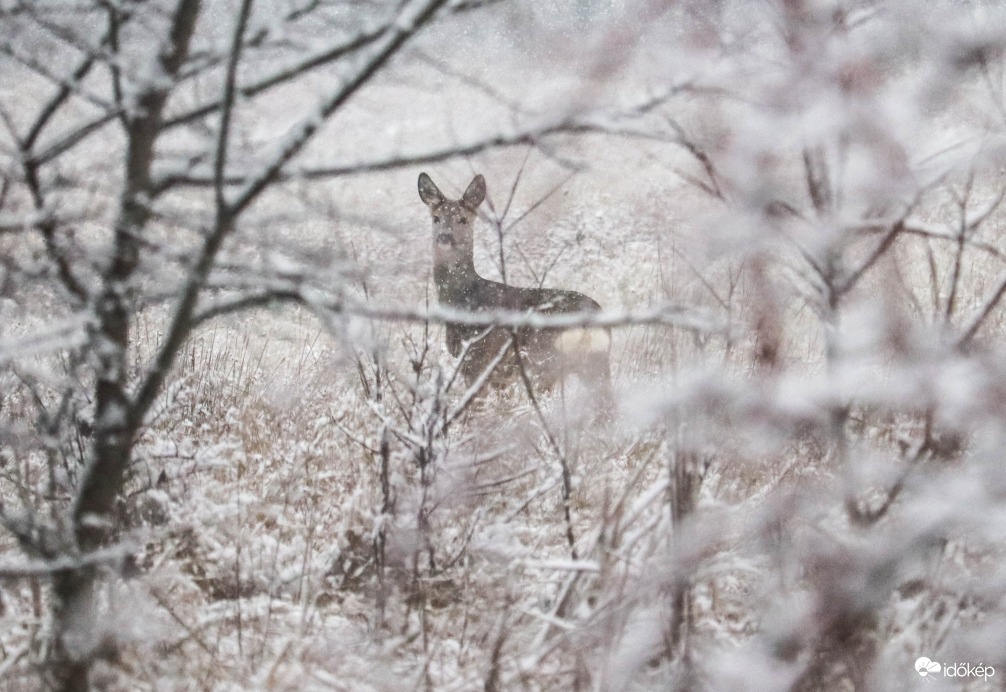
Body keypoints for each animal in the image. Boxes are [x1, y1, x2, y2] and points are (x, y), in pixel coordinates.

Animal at [416, 173, 611, 408]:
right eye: (435, 218)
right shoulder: (501, 375)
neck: (465, 298)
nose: (444, 238)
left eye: (462, 219)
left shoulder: (479, 359)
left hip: (547, 362)